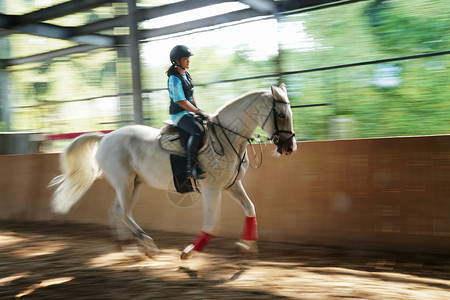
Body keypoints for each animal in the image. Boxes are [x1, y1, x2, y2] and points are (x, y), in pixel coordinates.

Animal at [50, 83, 296, 258]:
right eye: (281, 115)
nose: (289, 148)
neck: (228, 137)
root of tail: (105, 138)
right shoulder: (211, 189)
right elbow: (213, 224)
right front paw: (189, 252)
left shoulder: (232, 185)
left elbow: (250, 208)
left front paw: (246, 245)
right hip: (124, 183)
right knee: (121, 212)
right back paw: (147, 243)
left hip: (133, 184)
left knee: (118, 211)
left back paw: (131, 247)